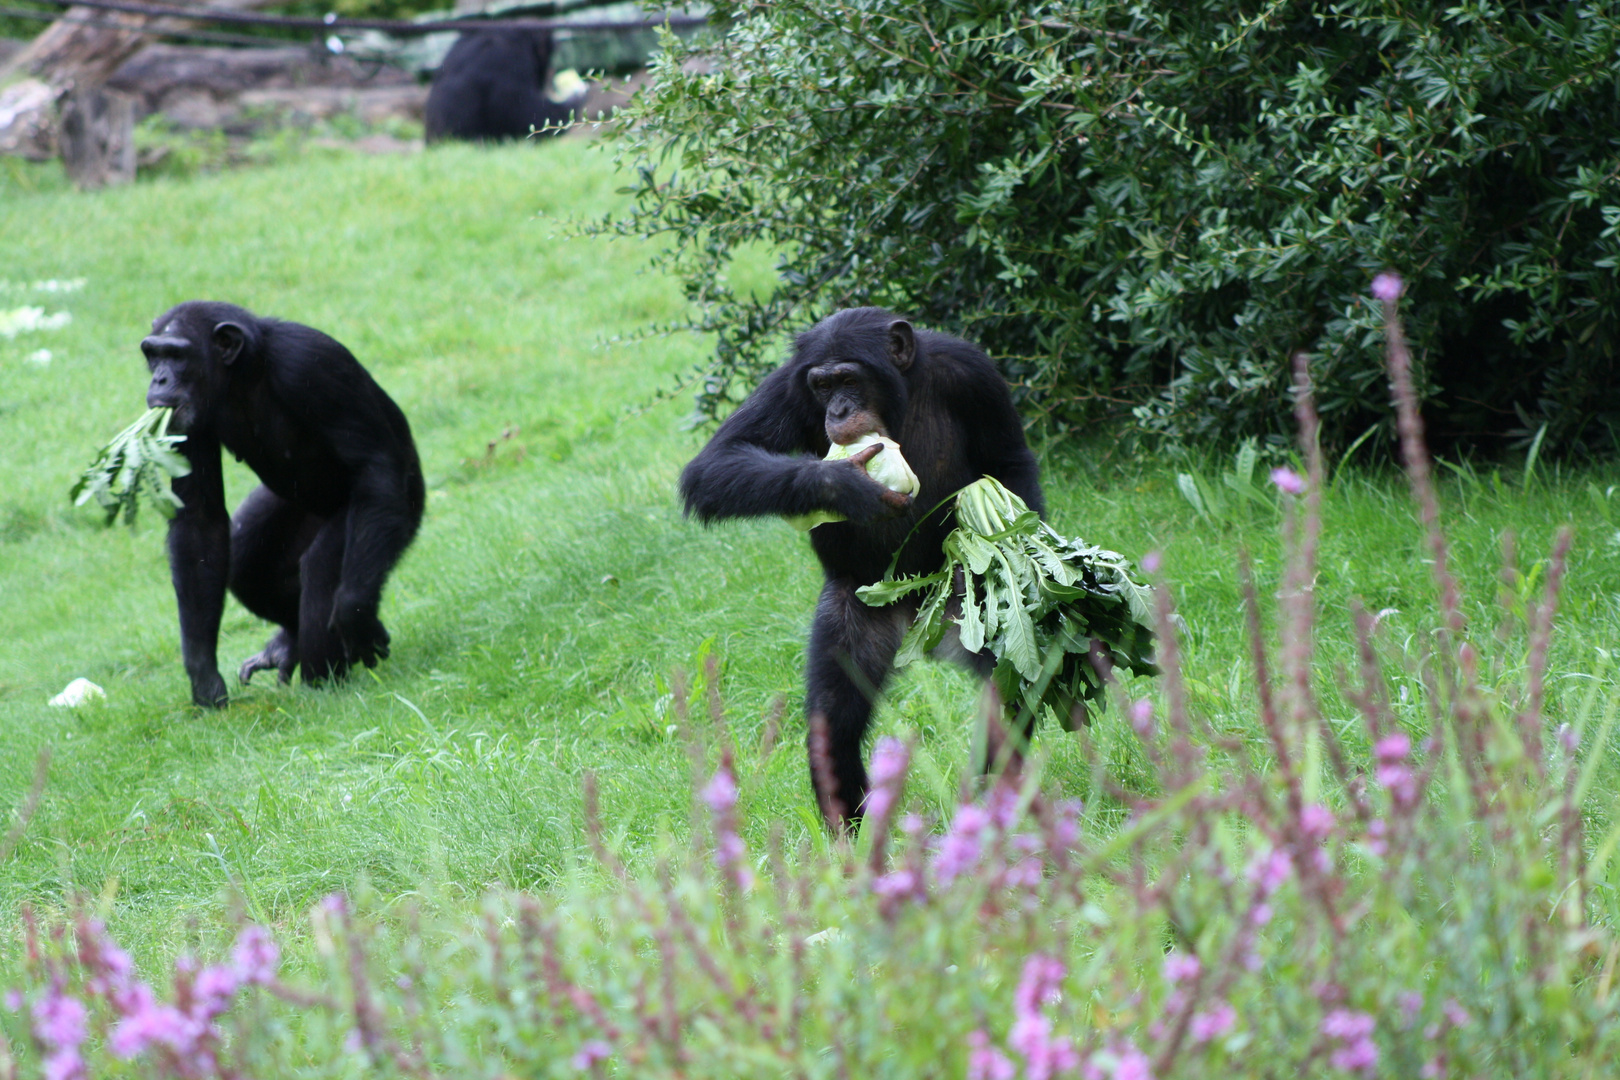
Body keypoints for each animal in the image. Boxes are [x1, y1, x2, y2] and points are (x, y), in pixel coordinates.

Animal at [140, 304, 424, 709]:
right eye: (153, 354)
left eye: (177, 355)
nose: (160, 379)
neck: (243, 374)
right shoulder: (180, 419)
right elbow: (199, 519)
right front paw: (204, 678)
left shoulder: (311, 363)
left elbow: (374, 465)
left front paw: (355, 615)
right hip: (293, 509)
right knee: (245, 561)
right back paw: (288, 645)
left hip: (395, 509)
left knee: (322, 566)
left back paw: (324, 684)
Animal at [677, 307, 1043, 835]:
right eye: (822, 385)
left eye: (849, 379)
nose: (838, 409)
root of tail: (920, 625)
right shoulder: (786, 387)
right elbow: (714, 465)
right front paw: (847, 485)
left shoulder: (975, 374)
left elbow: (1007, 459)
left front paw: (1025, 567)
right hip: (858, 614)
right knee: (834, 722)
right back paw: (854, 837)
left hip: (963, 608)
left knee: (1010, 686)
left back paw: (995, 804)